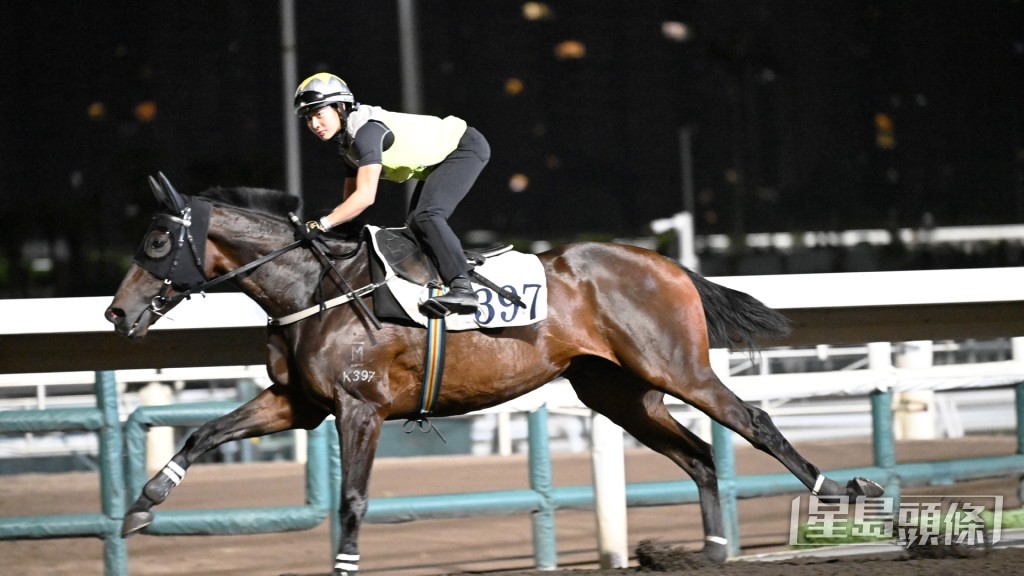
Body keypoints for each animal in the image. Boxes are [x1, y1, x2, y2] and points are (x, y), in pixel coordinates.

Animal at [105, 174, 883, 575]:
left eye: (157, 240)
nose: (115, 313)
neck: (314, 286)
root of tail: (667, 264)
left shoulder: (360, 408)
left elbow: (352, 500)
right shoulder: (298, 402)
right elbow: (203, 434)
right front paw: (142, 504)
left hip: (678, 368)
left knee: (755, 422)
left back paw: (842, 493)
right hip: (617, 390)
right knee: (697, 455)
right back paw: (711, 552)